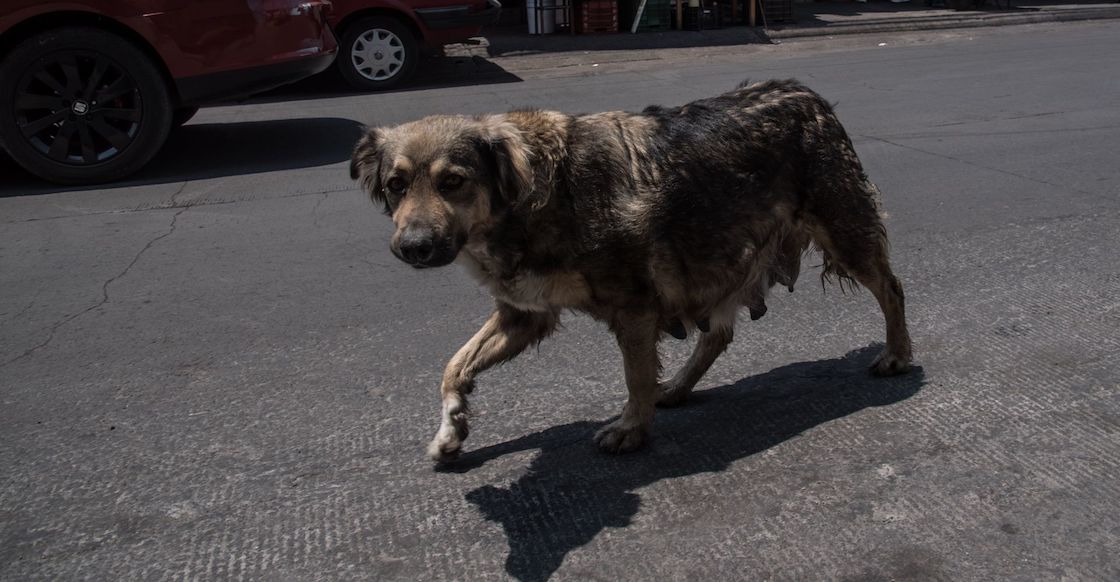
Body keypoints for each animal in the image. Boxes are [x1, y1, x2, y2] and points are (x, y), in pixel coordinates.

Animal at [353, 79, 913, 461]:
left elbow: (636, 375)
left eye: (453, 182)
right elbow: (454, 365)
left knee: (892, 288)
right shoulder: (523, 315)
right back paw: (680, 387)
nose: (413, 247)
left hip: (844, 232)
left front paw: (631, 428)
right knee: (718, 334)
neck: (531, 195)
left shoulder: (635, 306)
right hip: (719, 255)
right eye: (397, 185)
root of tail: (807, 95)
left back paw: (897, 354)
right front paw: (451, 426)